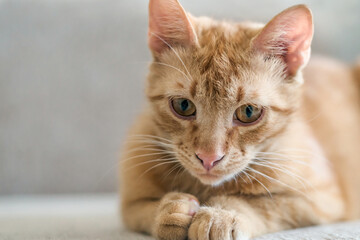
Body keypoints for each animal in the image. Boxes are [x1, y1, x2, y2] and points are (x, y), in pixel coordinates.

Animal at [120, 0, 360, 240]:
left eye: (249, 112)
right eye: (183, 106)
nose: (209, 158)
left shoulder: (321, 200)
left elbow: (261, 203)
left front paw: (221, 214)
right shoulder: (130, 204)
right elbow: (141, 210)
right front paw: (168, 211)